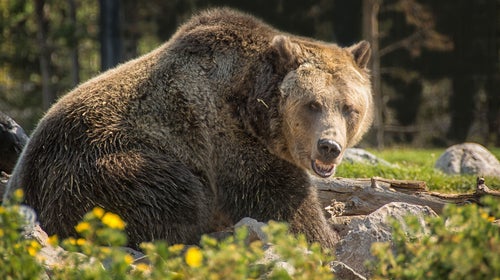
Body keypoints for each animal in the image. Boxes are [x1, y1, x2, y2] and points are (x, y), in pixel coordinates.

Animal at [2, 8, 372, 249]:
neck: (253, 105)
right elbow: (282, 202)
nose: (329, 146)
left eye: (349, 108)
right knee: (174, 195)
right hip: (97, 169)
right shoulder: (230, 142)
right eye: (312, 104)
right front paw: (326, 236)